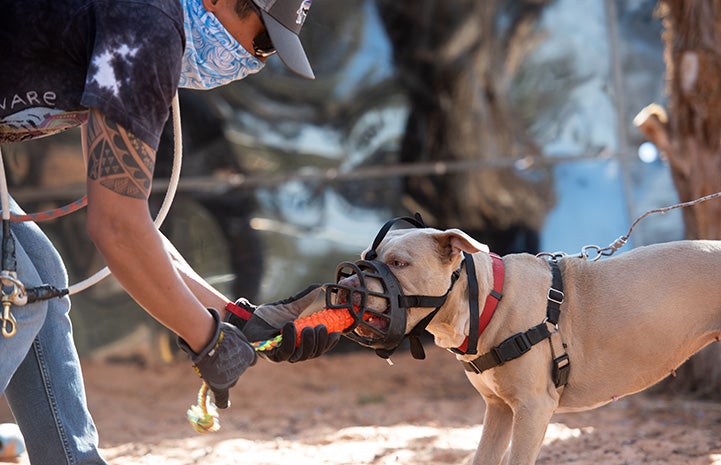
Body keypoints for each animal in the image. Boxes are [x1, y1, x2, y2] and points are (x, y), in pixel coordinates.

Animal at [352, 228, 720, 464]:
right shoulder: (498, 409)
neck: (487, 300)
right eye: (365, 258)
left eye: (399, 263)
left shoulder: (532, 409)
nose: (344, 285)